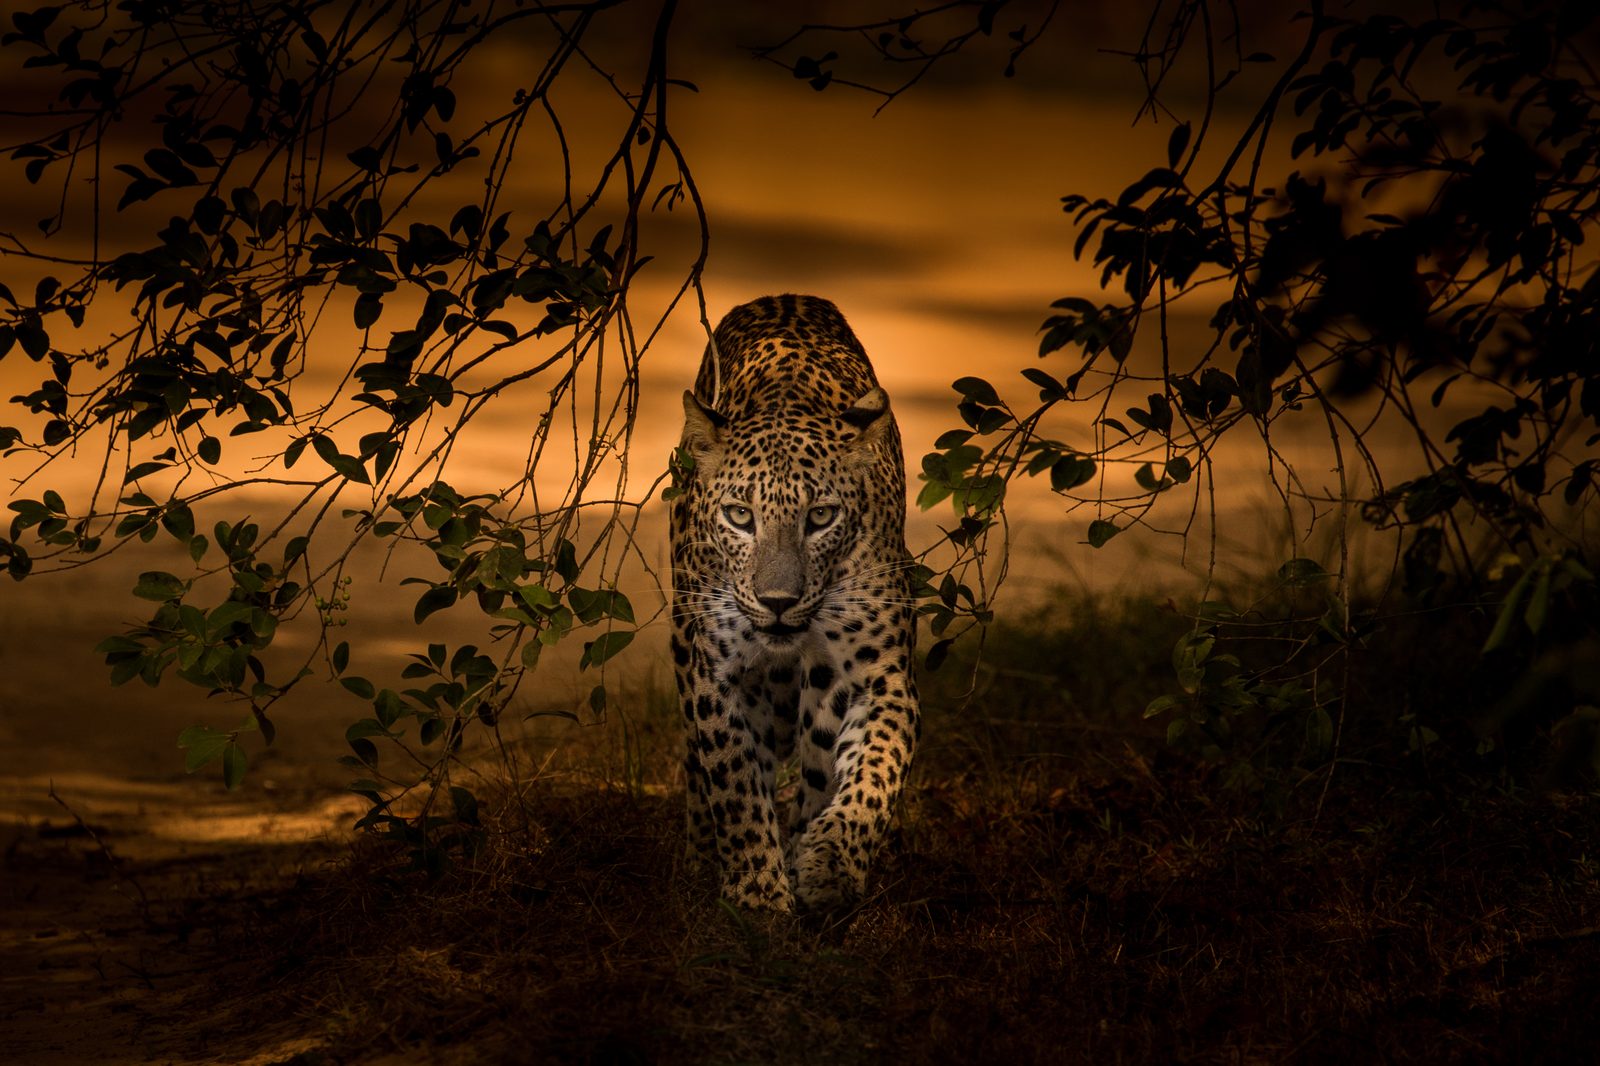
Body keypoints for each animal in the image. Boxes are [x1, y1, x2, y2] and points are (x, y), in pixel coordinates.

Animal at [669, 293, 921, 913]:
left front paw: (829, 865)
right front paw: (757, 894)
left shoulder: (877, 677)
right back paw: (700, 858)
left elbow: (874, 773)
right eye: (740, 516)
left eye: (821, 517)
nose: (777, 601)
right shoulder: (715, 675)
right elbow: (734, 782)